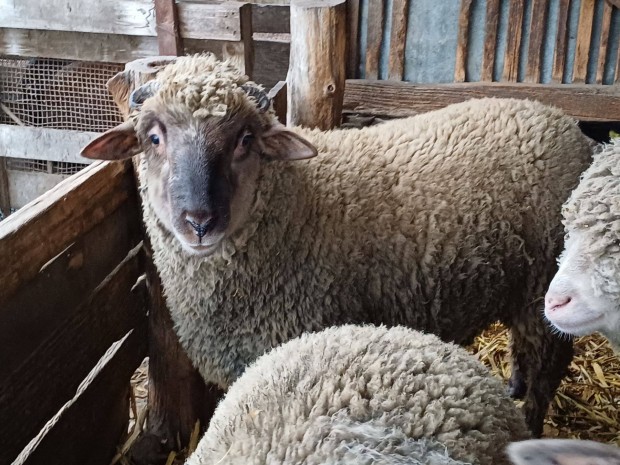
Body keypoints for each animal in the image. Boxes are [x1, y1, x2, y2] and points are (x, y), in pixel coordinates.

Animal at [80, 54, 594, 435]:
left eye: (245, 139)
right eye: (153, 138)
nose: (200, 222)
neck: (299, 204)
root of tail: (565, 124)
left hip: (543, 287)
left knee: (547, 370)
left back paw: (529, 420)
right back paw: (512, 387)